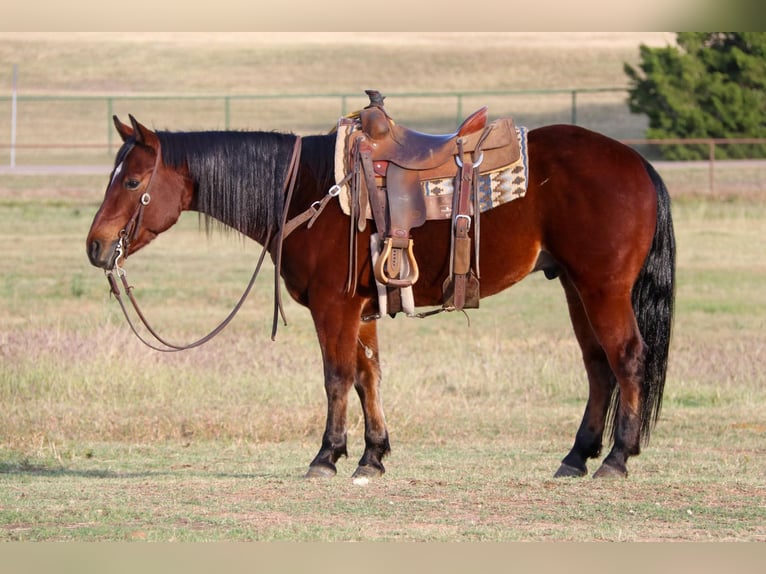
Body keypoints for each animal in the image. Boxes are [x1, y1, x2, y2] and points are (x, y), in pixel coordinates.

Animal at [87, 112, 680, 482]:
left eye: (132, 180)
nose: (95, 246)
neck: (307, 192)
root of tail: (637, 164)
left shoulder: (334, 308)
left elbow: (336, 377)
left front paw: (327, 455)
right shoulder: (362, 311)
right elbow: (367, 376)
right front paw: (372, 456)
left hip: (602, 289)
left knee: (627, 359)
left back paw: (617, 458)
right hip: (576, 289)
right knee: (598, 366)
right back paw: (577, 457)